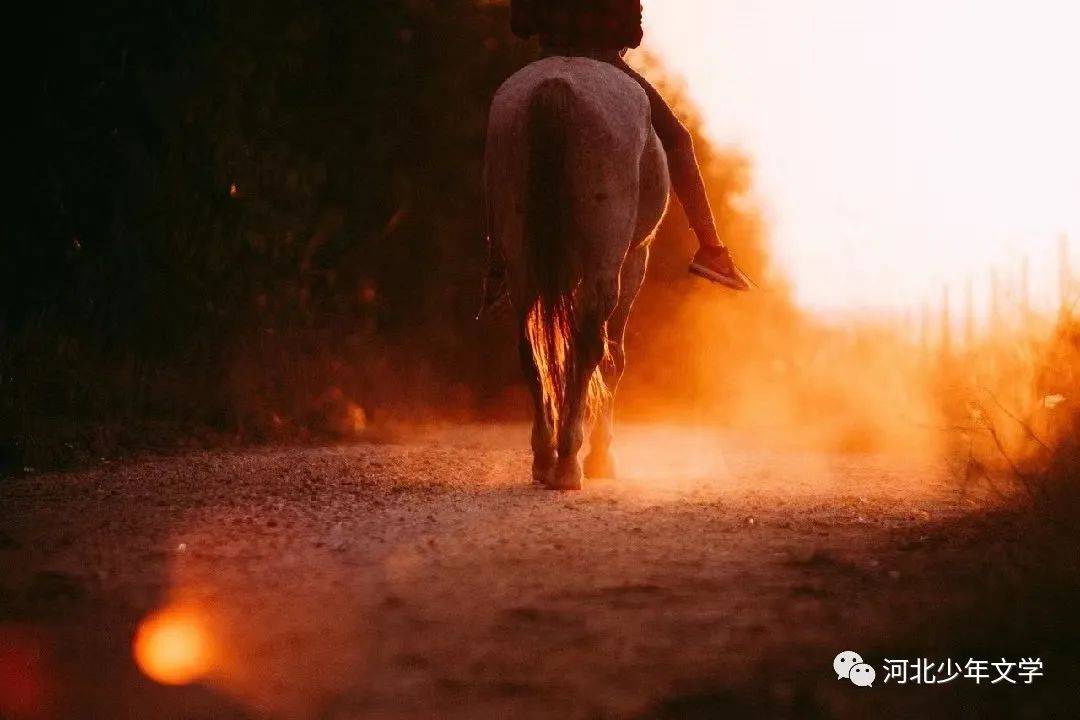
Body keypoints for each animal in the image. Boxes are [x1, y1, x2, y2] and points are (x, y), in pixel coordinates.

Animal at [486, 57, 669, 490]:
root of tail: (555, 88)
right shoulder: (634, 260)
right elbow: (613, 358)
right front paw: (603, 457)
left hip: (522, 260)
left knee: (530, 347)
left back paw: (544, 458)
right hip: (607, 261)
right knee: (590, 347)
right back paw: (569, 461)